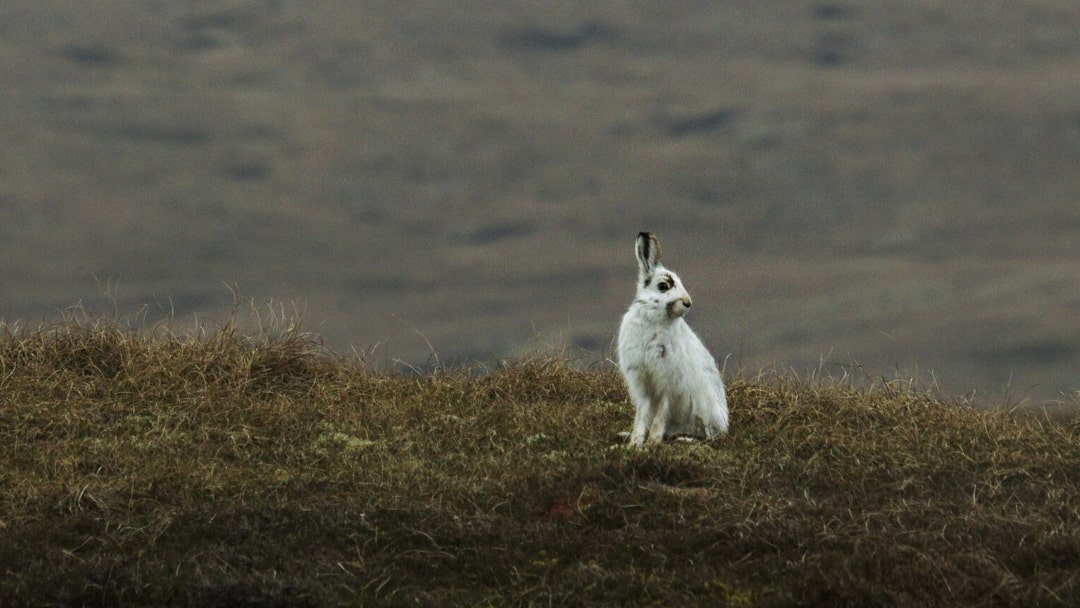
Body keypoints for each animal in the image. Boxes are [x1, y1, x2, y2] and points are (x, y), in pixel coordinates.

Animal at [617, 232, 729, 447]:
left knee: (708, 435)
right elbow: (642, 416)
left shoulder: (669, 386)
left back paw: (686, 438)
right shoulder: (642, 385)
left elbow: (661, 416)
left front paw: (652, 443)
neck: (654, 320)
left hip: (705, 409)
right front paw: (635, 444)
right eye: (664, 286)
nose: (688, 303)